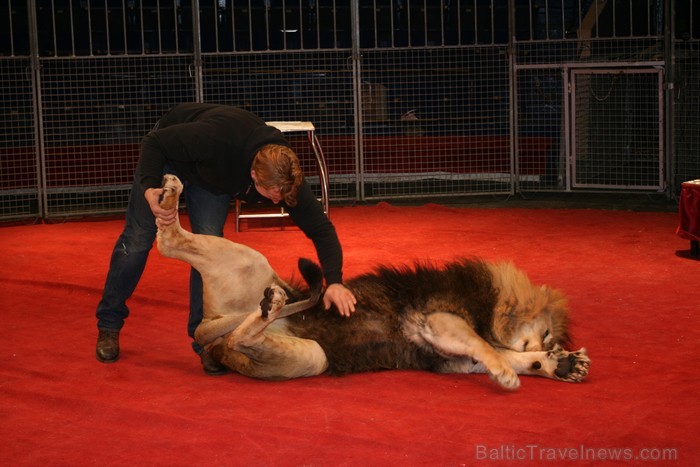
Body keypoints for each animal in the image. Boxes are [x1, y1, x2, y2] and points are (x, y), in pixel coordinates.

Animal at [156, 174, 588, 390]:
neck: (492, 307)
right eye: (545, 332)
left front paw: (563, 365)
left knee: (239, 337)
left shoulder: (453, 359)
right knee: (169, 241)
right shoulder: (435, 320)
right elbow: (486, 346)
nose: (550, 347)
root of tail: (208, 335)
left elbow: (511, 357)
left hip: (311, 357)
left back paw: (270, 306)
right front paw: (508, 373)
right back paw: (169, 194)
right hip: (250, 260)